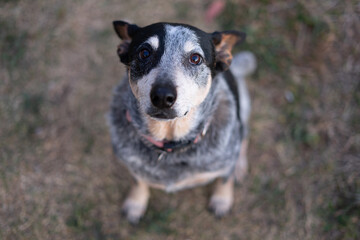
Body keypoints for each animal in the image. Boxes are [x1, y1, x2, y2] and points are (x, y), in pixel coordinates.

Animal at [109, 20, 256, 223]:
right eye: (144, 53)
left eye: (195, 58)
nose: (163, 96)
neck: (171, 143)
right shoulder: (133, 167)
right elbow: (138, 182)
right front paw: (135, 204)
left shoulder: (225, 163)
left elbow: (224, 179)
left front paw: (221, 200)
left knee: (244, 136)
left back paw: (240, 167)